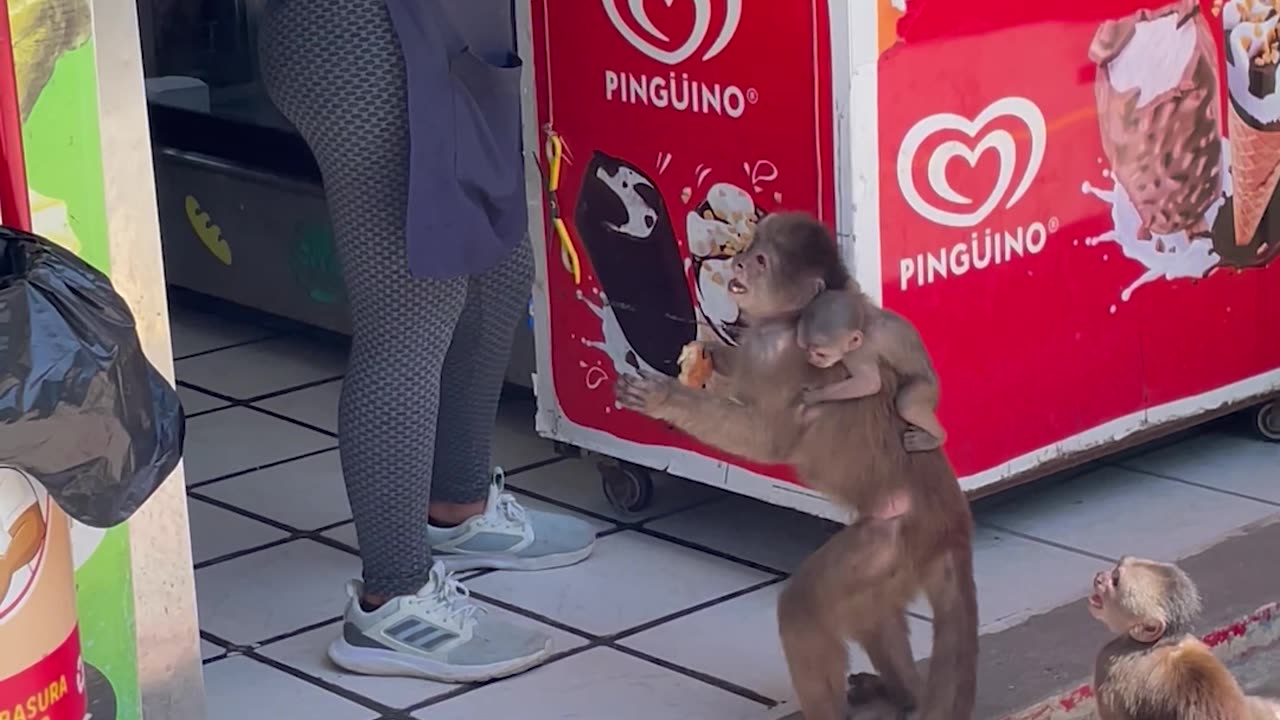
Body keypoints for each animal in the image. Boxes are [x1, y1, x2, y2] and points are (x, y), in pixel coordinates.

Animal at [796, 288, 946, 452]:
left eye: (821, 354)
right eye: (806, 348)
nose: (811, 358)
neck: (864, 322)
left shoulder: (857, 353)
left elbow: (869, 383)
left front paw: (816, 395)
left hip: (928, 389)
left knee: (907, 404)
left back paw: (937, 438)